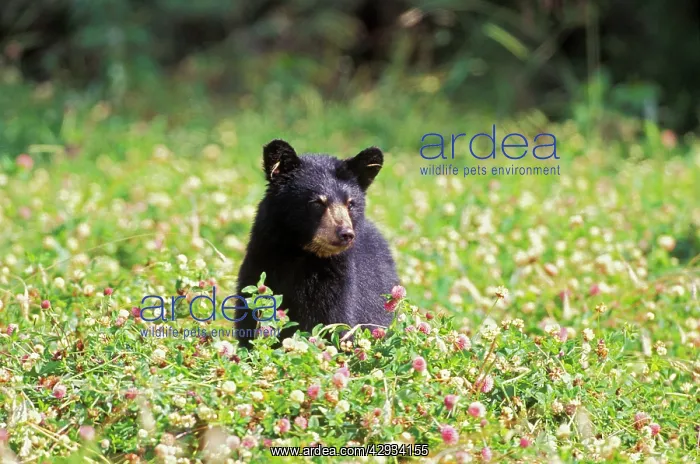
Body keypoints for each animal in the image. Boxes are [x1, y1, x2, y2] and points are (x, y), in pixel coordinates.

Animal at [234, 139, 398, 348]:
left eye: (350, 203)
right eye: (317, 202)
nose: (346, 233)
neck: (300, 254)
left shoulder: (336, 281)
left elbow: (331, 321)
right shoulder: (261, 263)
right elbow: (249, 314)